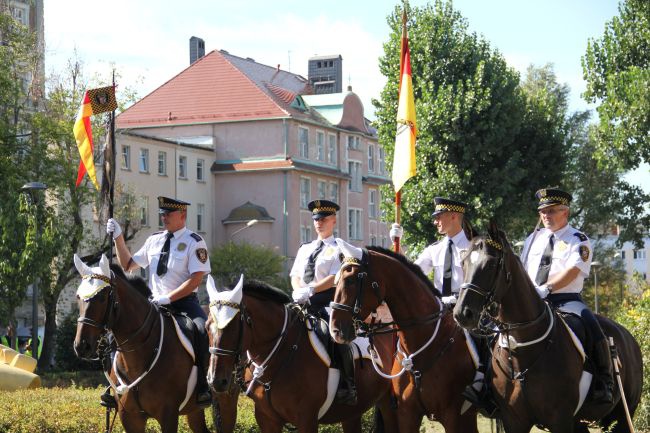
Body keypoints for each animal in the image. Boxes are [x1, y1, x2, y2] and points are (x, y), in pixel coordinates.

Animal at [72, 253, 237, 432]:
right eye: (78, 297)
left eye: (102, 297)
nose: (81, 346)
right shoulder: (130, 418)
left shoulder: (168, 415)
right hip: (194, 410)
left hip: (226, 399)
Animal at [205, 276, 398, 430]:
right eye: (207, 326)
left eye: (232, 326)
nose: (216, 381)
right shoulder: (266, 419)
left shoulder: (306, 418)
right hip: (352, 413)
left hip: (388, 403)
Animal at [454, 223, 640, 432]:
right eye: (463, 263)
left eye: (491, 264)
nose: (462, 313)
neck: (522, 349)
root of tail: (629, 337)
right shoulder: (514, 420)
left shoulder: (561, 420)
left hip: (623, 416)